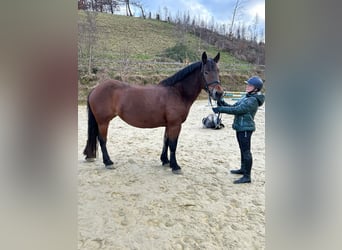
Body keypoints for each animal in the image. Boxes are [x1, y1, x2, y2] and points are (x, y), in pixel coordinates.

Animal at [83, 51, 224, 174]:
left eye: (218, 71)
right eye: (206, 72)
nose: (219, 93)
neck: (177, 92)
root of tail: (95, 89)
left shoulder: (169, 125)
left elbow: (166, 141)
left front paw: (165, 161)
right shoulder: (175, 124)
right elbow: (173, 144)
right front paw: (175, 166)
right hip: (103, 122)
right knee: (102, 140)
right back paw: (108, 162)